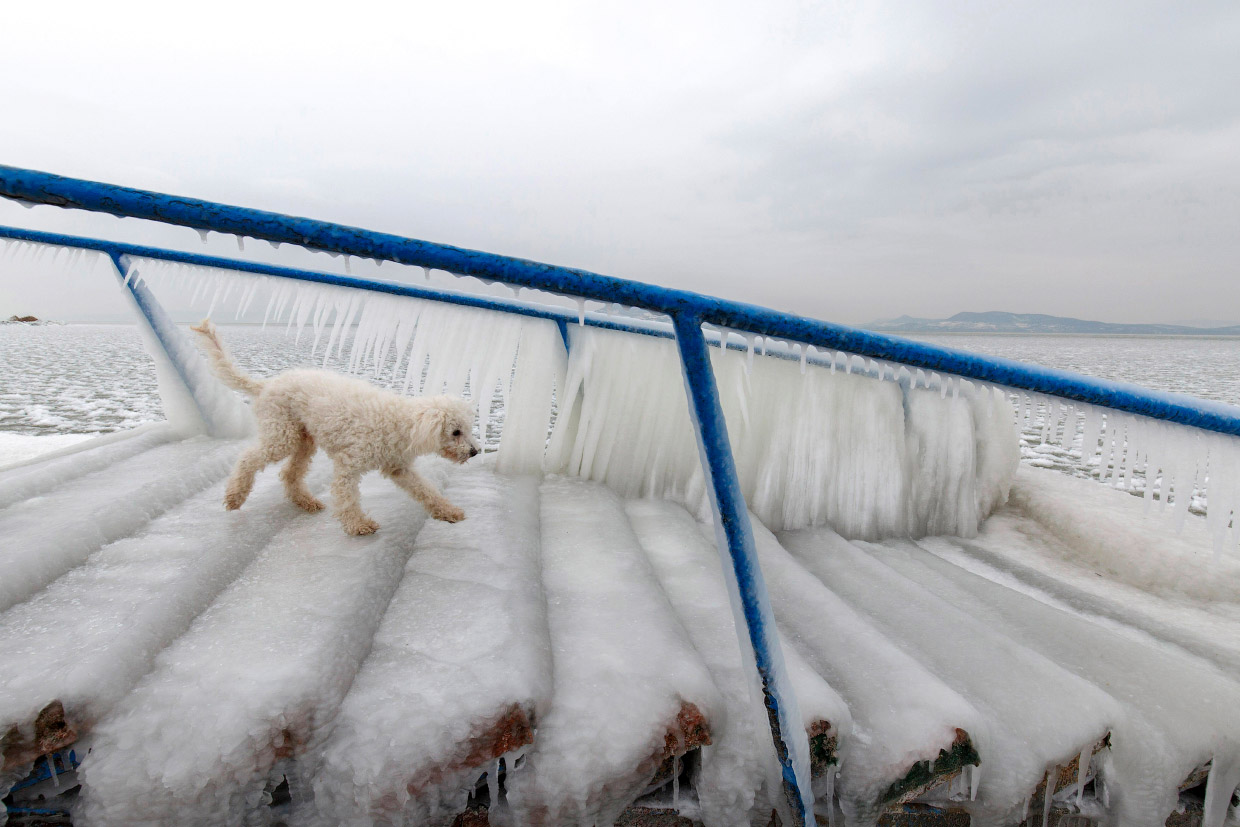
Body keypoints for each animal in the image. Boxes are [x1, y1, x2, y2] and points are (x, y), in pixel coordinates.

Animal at [189, 317, 478, 538]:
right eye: (456, 432)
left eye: (468, 429)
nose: (475, 452)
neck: (399, 423)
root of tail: (267, 385)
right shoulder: (349, 463)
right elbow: (346, 496)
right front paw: (359, 525)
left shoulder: (399, 467)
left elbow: (425, 490)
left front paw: (449, 512)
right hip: (282, 434)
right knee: (248, 458)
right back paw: (235, 496)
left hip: (304, 439)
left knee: (290, 473)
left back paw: (305, 501)